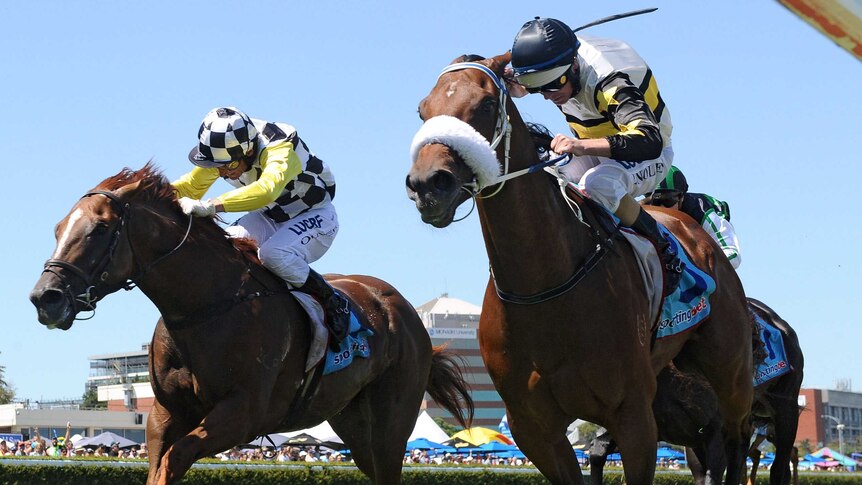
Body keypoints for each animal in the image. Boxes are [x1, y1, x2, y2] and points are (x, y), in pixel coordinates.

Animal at [28, 164, 472, 482]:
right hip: (352, 421)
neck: (205, 307)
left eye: (100, 229)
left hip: (392, 422)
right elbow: (160, 464)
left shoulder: (242, 414)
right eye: (58, 229)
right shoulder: (164, 415)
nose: (45, 298)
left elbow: (175, 460)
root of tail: (405, 311)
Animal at [408, 51, 752, 482]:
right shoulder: (533, 428)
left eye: (486, 104)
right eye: (423, 110)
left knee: (737, 443)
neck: (543, 285)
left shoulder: (633, 415)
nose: (427, 185)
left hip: (731, 376)